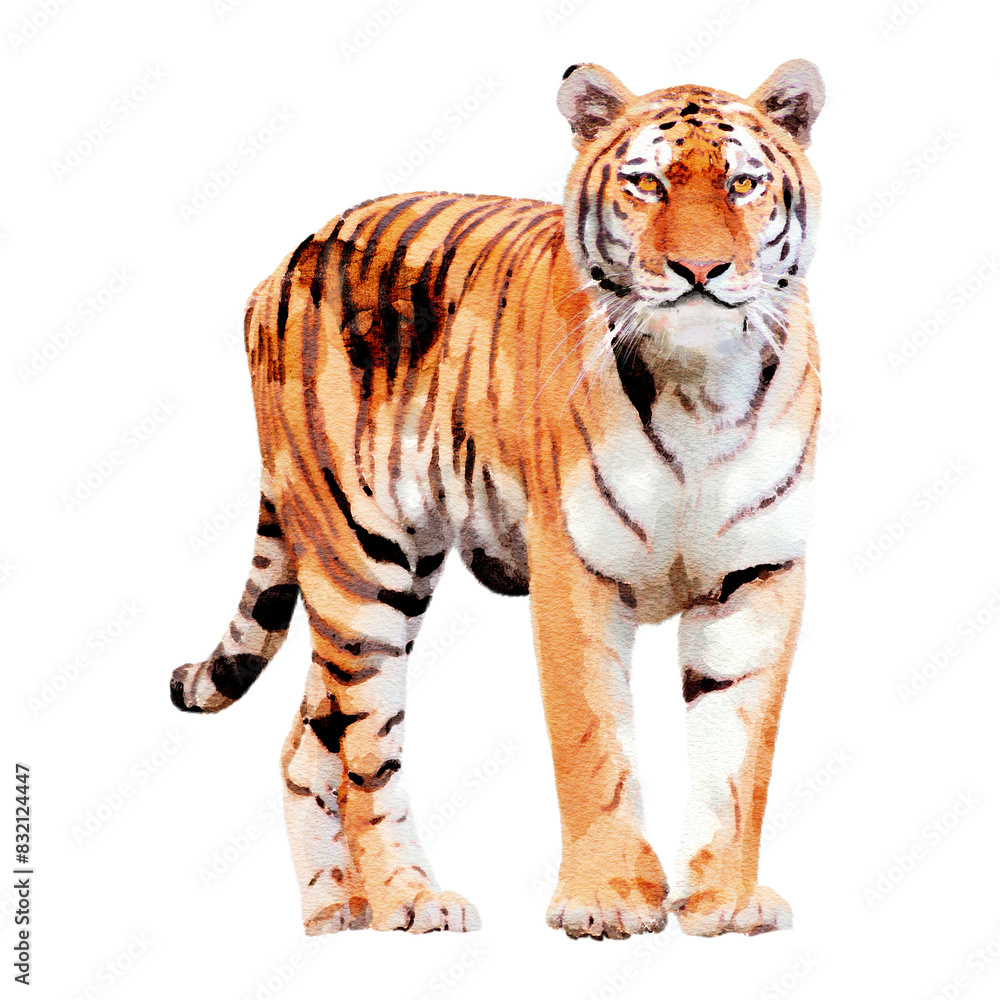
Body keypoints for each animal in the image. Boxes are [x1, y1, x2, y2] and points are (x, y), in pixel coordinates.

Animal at [170, 59, 824, 940]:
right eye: (646, 183)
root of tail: (284, 262)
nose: (699, 272)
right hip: (358, 567)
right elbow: (593, 744)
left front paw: (725, 902)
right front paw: (607, 900)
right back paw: (408, 899)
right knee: (365, 749)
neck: (701, 385)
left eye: (744, 184)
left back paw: (334, 915)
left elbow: (739, 754)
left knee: (307, 744)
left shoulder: (757, 577)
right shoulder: (575, 573)